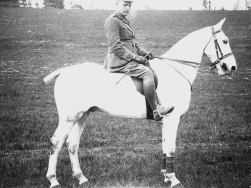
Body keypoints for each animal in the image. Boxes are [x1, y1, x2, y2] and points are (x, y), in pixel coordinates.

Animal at [43, 18, 237, 188]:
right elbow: (171, 149)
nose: (232, 67)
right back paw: (54, 180)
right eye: (225, 41)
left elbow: (165, 148)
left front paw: (166, 177)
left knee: (72, 144)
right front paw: (174, 180)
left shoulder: (166, 121)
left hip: (82, 115)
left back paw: (81, 178)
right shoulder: (173, 119)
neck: (175, 71)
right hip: (69, 117)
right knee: (56, 143)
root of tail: (63, 72)